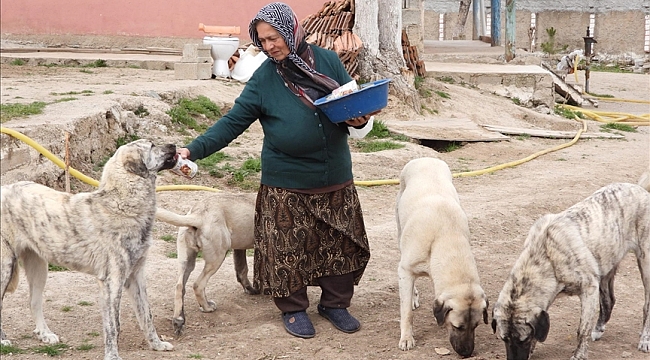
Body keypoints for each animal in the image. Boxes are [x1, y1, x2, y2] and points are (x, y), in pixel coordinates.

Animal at [0, 139, 176, 360]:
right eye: (152, 146)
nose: (174, 146)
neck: (120, 203)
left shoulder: (136, 277)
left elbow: (147, 315)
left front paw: (157, 344)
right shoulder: (112, 282)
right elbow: (112, 326)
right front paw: (112, 355)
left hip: (39, 268)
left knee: (34, 301)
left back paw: (45, 334)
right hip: (5, 268)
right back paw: (3, 340)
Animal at [155, 193, 258, 336]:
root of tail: (199, 214)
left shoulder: (239, 249)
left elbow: (242, 270)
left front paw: (250, 289)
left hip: (186, 261)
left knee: (179, 287)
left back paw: (179, 320)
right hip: (217, 257)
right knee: (198, 284)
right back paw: (207, 307)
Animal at [394, 158, 486, 358]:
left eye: (476, 326)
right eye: (457, 327)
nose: (467, 353)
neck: (446, 236)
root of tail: (425, 158)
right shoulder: (405, 270)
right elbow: (406, 312)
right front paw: (407, 338)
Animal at [492, 183, 648, 360]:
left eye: (523, 340)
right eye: (504, 339)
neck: (546, 256)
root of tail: (640, 188)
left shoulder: (589, 289)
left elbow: (582, 329)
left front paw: (579, 355)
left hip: (645, 264)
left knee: (646, 305)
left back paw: (644, 338)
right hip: (606, 265)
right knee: (609, 300)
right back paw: (599, 328)